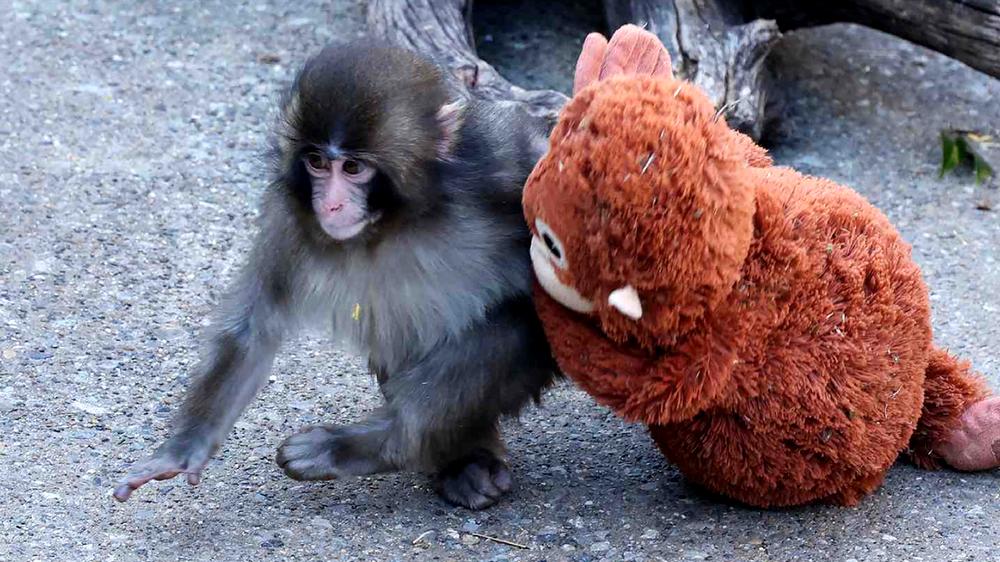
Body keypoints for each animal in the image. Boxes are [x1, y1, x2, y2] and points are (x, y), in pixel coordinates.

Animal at [112, 39, 558, 510]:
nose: (330, 204)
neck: (398, 220)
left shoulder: (502, 164)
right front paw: (183, 449)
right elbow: (254, 328)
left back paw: (374, 444)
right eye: (315, 163)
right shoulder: (289, 217)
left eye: (353, 168)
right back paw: (462, 459)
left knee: (514, 325)